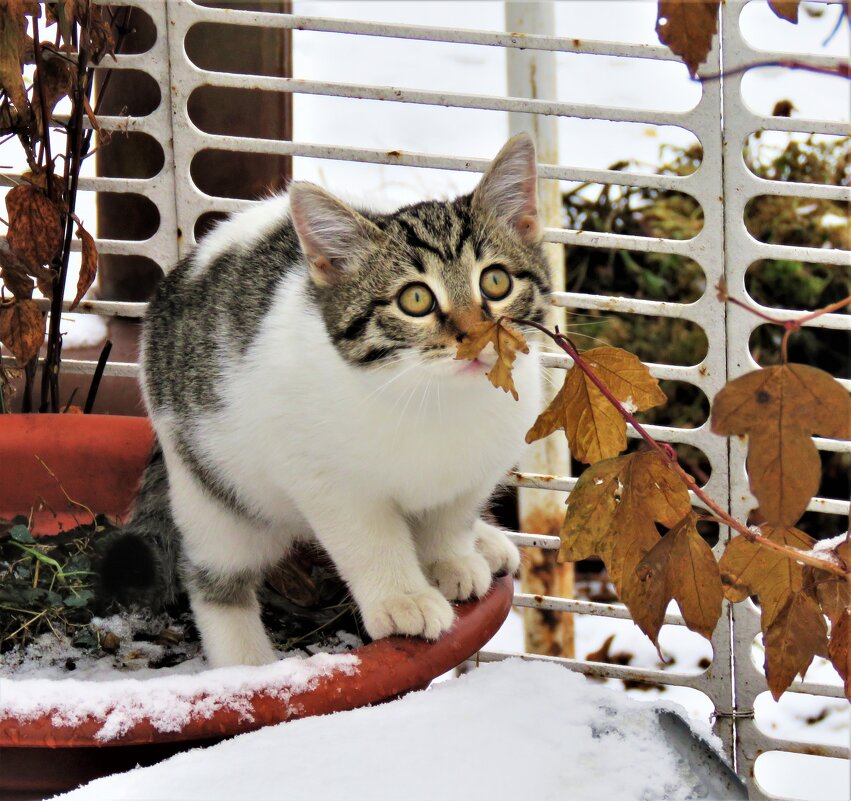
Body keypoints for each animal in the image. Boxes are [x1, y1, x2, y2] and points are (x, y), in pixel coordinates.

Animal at [132, 134, 548, 664]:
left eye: (496, 281)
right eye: (416, 299)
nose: (476, 337)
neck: (438, 398)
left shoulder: (480, 466)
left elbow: (451, 516)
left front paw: (451, 559)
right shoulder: (324, 478)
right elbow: (367, 538)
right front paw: (402, 598)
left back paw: (487, 542)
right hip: (209, 482)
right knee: (214, 574)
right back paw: (247, 663)